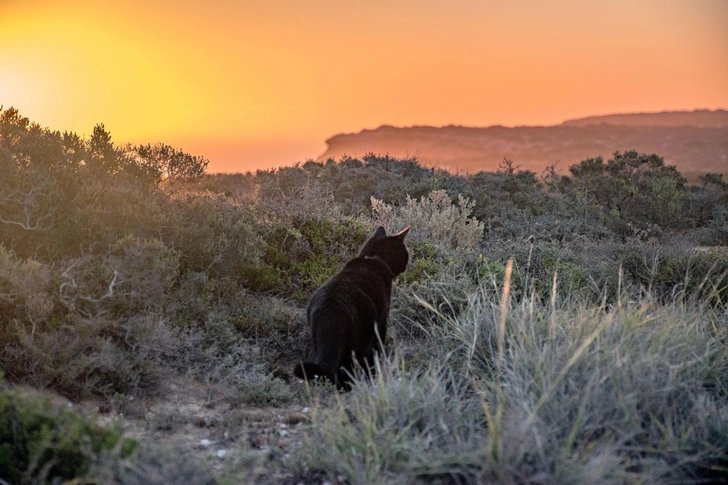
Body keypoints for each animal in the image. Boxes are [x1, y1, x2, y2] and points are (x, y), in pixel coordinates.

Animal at [294, 225, 410, 388]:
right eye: (405, 252)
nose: (406, 265)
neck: (373, 258)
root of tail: (329, 311)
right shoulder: (382, 322)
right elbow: (378, 348)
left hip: (319, 342)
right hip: (357, 342)